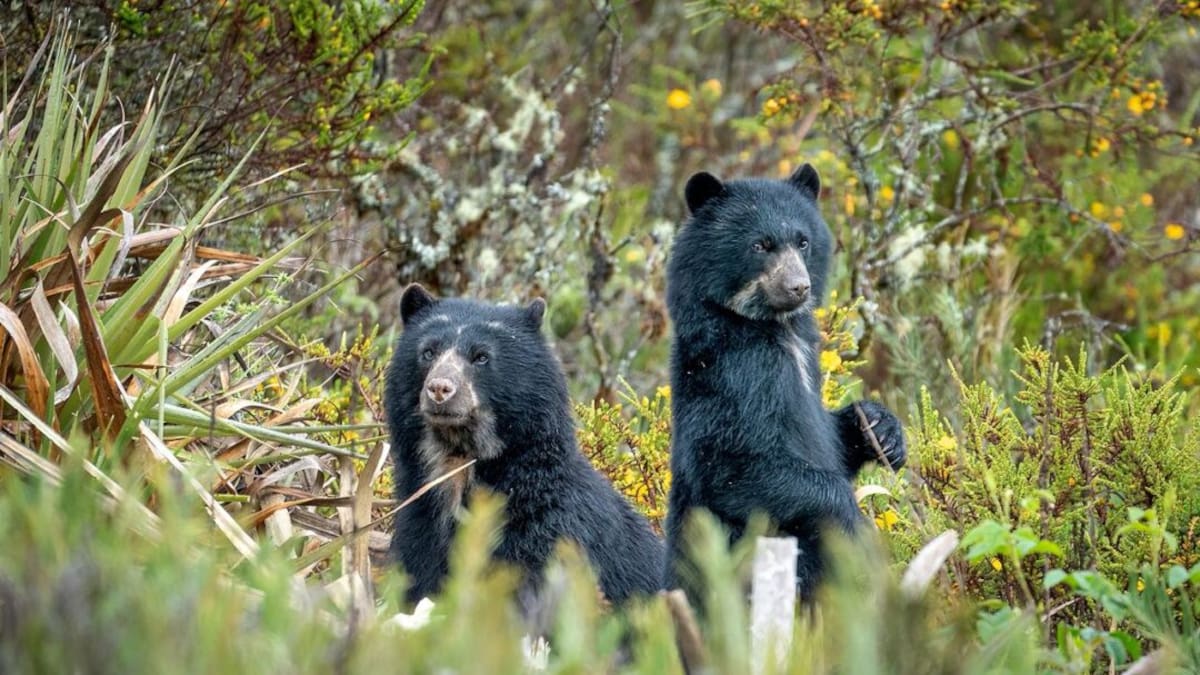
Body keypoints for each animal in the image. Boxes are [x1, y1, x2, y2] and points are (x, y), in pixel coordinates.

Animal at [386, 284, 665, 609]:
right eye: (428, 352)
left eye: (481, 357)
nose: (440, 389)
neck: (459, 462)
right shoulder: (419, 529)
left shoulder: (547, 538)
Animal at [662, 164, 908, 601]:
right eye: (761, 245)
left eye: (803, 241)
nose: (799, 287)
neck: (775, 330)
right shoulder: (735, 377)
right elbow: (732, 466)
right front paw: (854, 523)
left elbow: (832, 433)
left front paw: (883, 430)